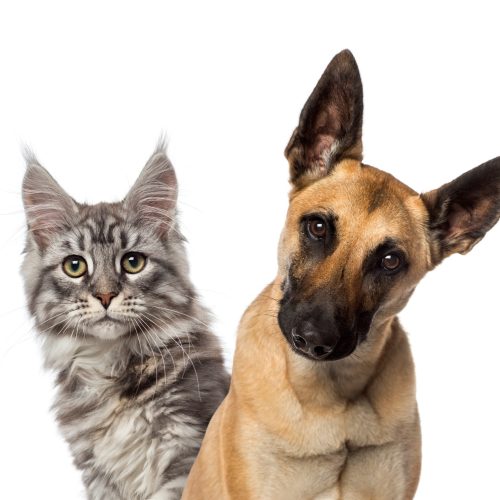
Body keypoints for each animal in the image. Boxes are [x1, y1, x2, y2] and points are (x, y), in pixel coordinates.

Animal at [20, 143, 229, 498]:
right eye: (74, 266)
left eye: (133, 262)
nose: (105, 296)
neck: (111, 369)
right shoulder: (99, 475)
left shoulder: (186, 449)